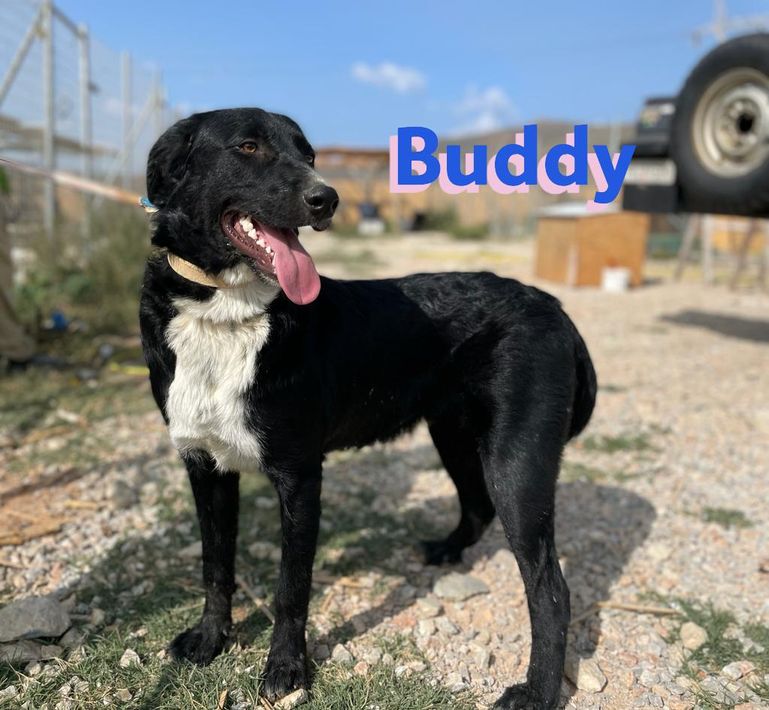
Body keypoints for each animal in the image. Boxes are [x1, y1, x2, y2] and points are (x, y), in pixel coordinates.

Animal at [139, 108, 597, 709]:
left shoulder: (300, 475)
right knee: (477, 506)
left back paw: (539, 691)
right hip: (454, 436)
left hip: (516, 464)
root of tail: (555, 306)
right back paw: (448, 550)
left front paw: (286, 668)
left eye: (308, 154)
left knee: (551, 589)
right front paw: (211, 639)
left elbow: (291, 589)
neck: (225, 310)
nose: (326, 198)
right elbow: (216, 566)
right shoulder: (204, 466)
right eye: (248, 146)